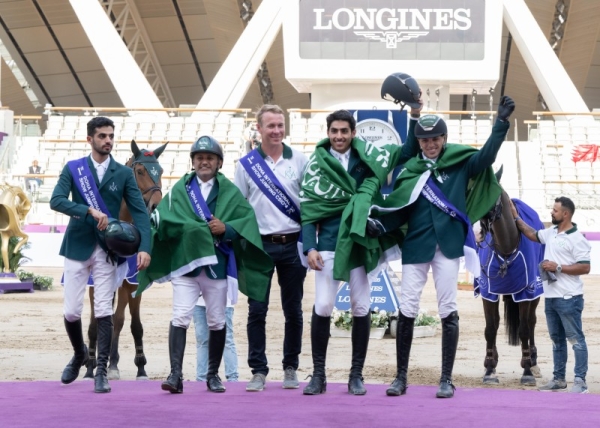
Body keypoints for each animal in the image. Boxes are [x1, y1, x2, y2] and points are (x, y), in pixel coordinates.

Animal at [82, 141, 166, 382]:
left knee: (116, 319)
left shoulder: (132, 283)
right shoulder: (95, 284)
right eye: (140, 171)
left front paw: (140, 367)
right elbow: (95, 322)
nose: (156, 205)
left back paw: (112, 361)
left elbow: (131, 324)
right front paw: (91, 367)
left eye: (160, 171)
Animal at [476, 171, 548, 388]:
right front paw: (490, 369)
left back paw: (533, 361)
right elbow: (490, 328)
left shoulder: (525, 292)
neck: (507, 248)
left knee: (531, 322)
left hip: (535, 293)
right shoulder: (488, 293)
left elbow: (524, 329)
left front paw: (527, 370)